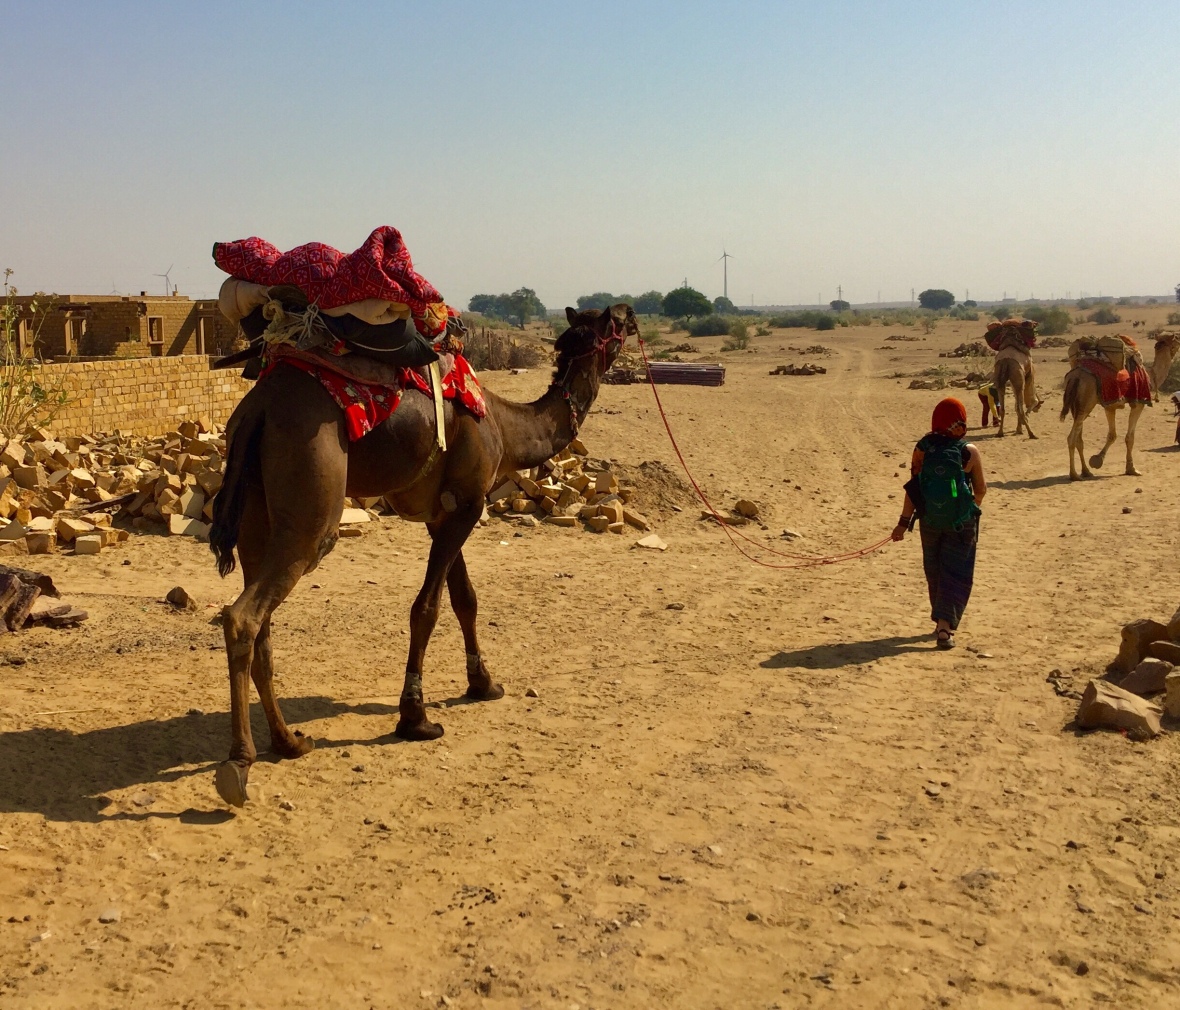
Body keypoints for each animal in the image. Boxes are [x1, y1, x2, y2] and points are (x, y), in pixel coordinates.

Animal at [211, 302, 637, 807]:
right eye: (614, 325)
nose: (631, 313)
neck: (502, 424)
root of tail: (256, 408)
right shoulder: (468, 503)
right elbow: (427, 608)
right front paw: (415, 717)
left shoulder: (446, 512)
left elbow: (465, 599)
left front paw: (484, 684)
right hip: (311, 492)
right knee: (246, 615)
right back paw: (239, 764)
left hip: (256, 510)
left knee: (263, 622)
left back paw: (289, 741)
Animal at [1057, 330, 1175, 481]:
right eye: (1177, 339)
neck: (1151, 376)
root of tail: (1075, 377)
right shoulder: (1139, 403)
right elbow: (1130, 437)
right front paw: (1132, 469)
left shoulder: (1110, 405)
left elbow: (1112, 435)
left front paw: (1097, 460)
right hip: (1086, 403)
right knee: (1072, 437)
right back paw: (1074, 475)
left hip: (1077, 405)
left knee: (1079, 438)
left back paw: (1086, 471)